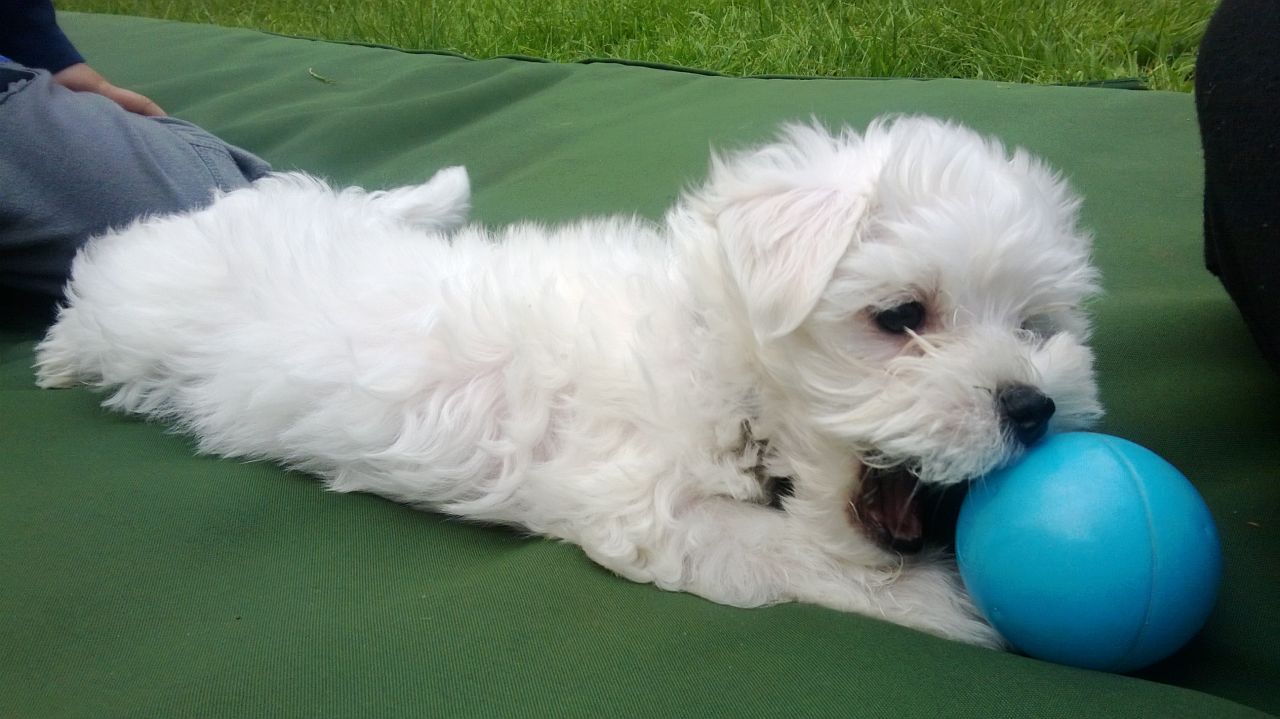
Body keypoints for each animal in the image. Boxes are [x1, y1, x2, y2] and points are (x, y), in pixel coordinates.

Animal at [37, 116, 1100, 644]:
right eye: (901, 316)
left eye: (1035, 326)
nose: (1035, 406)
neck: (719, 357)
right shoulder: (651, 509)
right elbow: (806, 559)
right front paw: (951, 608)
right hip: (141, 312)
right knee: (93, 284)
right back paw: (56, 356)